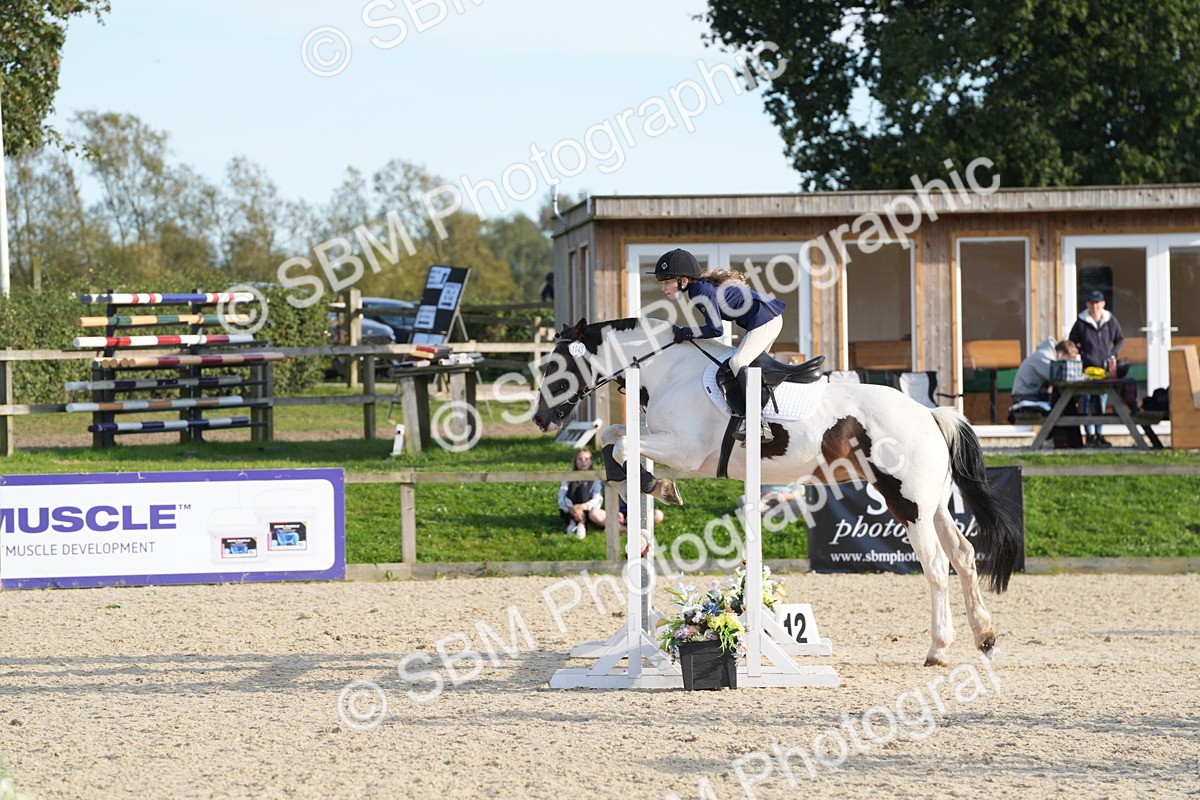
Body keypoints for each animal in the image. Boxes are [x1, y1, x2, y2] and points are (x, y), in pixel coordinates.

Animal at [532, 316, 1022, 667]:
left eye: (555, 369)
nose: (540, 419)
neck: (666, 369)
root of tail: (929, 413)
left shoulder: (684, 449)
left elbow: (619, 444)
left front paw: (660, 487)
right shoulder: (658, 437)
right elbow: (612, 436)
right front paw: (640, 488)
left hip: (909, 502)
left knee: (937, 566)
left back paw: (938, 650)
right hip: (933, 502)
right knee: (963, 556)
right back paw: (985, 638)